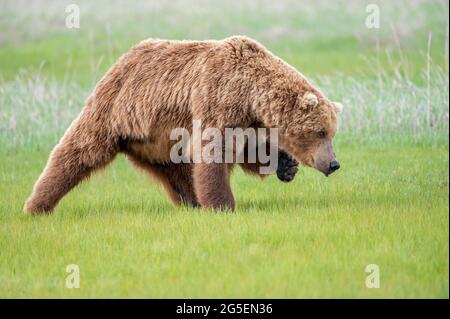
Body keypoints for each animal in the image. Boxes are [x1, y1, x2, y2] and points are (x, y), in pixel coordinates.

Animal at [24, 36, 342, 214]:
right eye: (320, 132)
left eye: (331, 133)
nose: (334, 163)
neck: (250, 93)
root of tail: (123, 57)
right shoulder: (218, 98)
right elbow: (214, 152)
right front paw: (223, 205)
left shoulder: (246, 119)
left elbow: (250, 150)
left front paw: (285, 164)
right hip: (115, 109)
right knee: (79, 149)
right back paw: (37, 204)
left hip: (158, 139)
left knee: (177, 170)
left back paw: (192, 201)